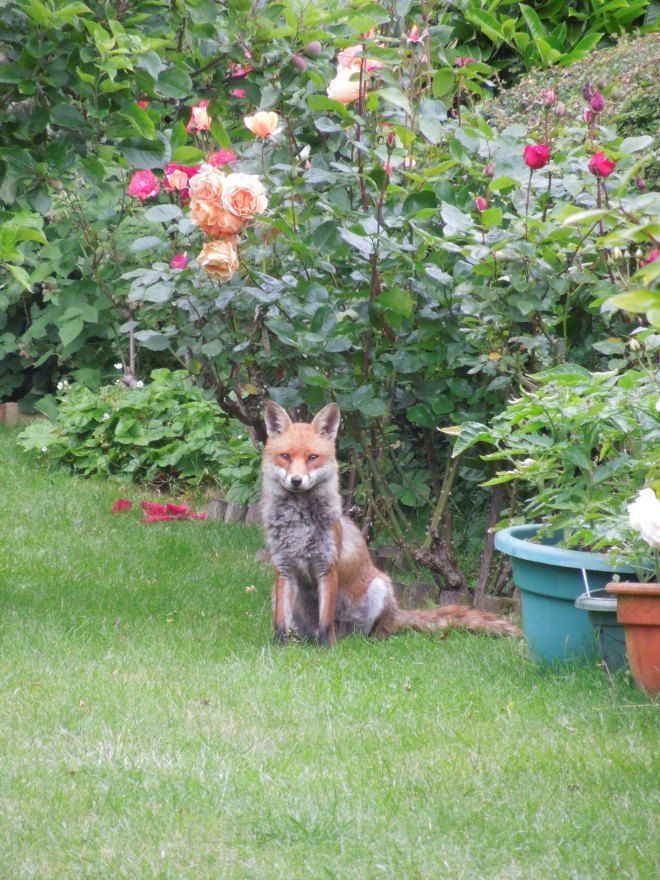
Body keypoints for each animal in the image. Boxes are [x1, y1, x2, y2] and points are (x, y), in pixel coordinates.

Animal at [260, 400, 520, 645]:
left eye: (312, 458)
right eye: (285, 456)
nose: (296, 481)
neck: (299, 524)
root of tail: (396, 614)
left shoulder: (327, 566)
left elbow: (326, 622)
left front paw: (326, 649)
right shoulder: (283, 568)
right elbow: (281, 623)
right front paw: (278, 648)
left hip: (379, 587)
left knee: (370, 633)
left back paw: (355, 642)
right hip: (277, 594)